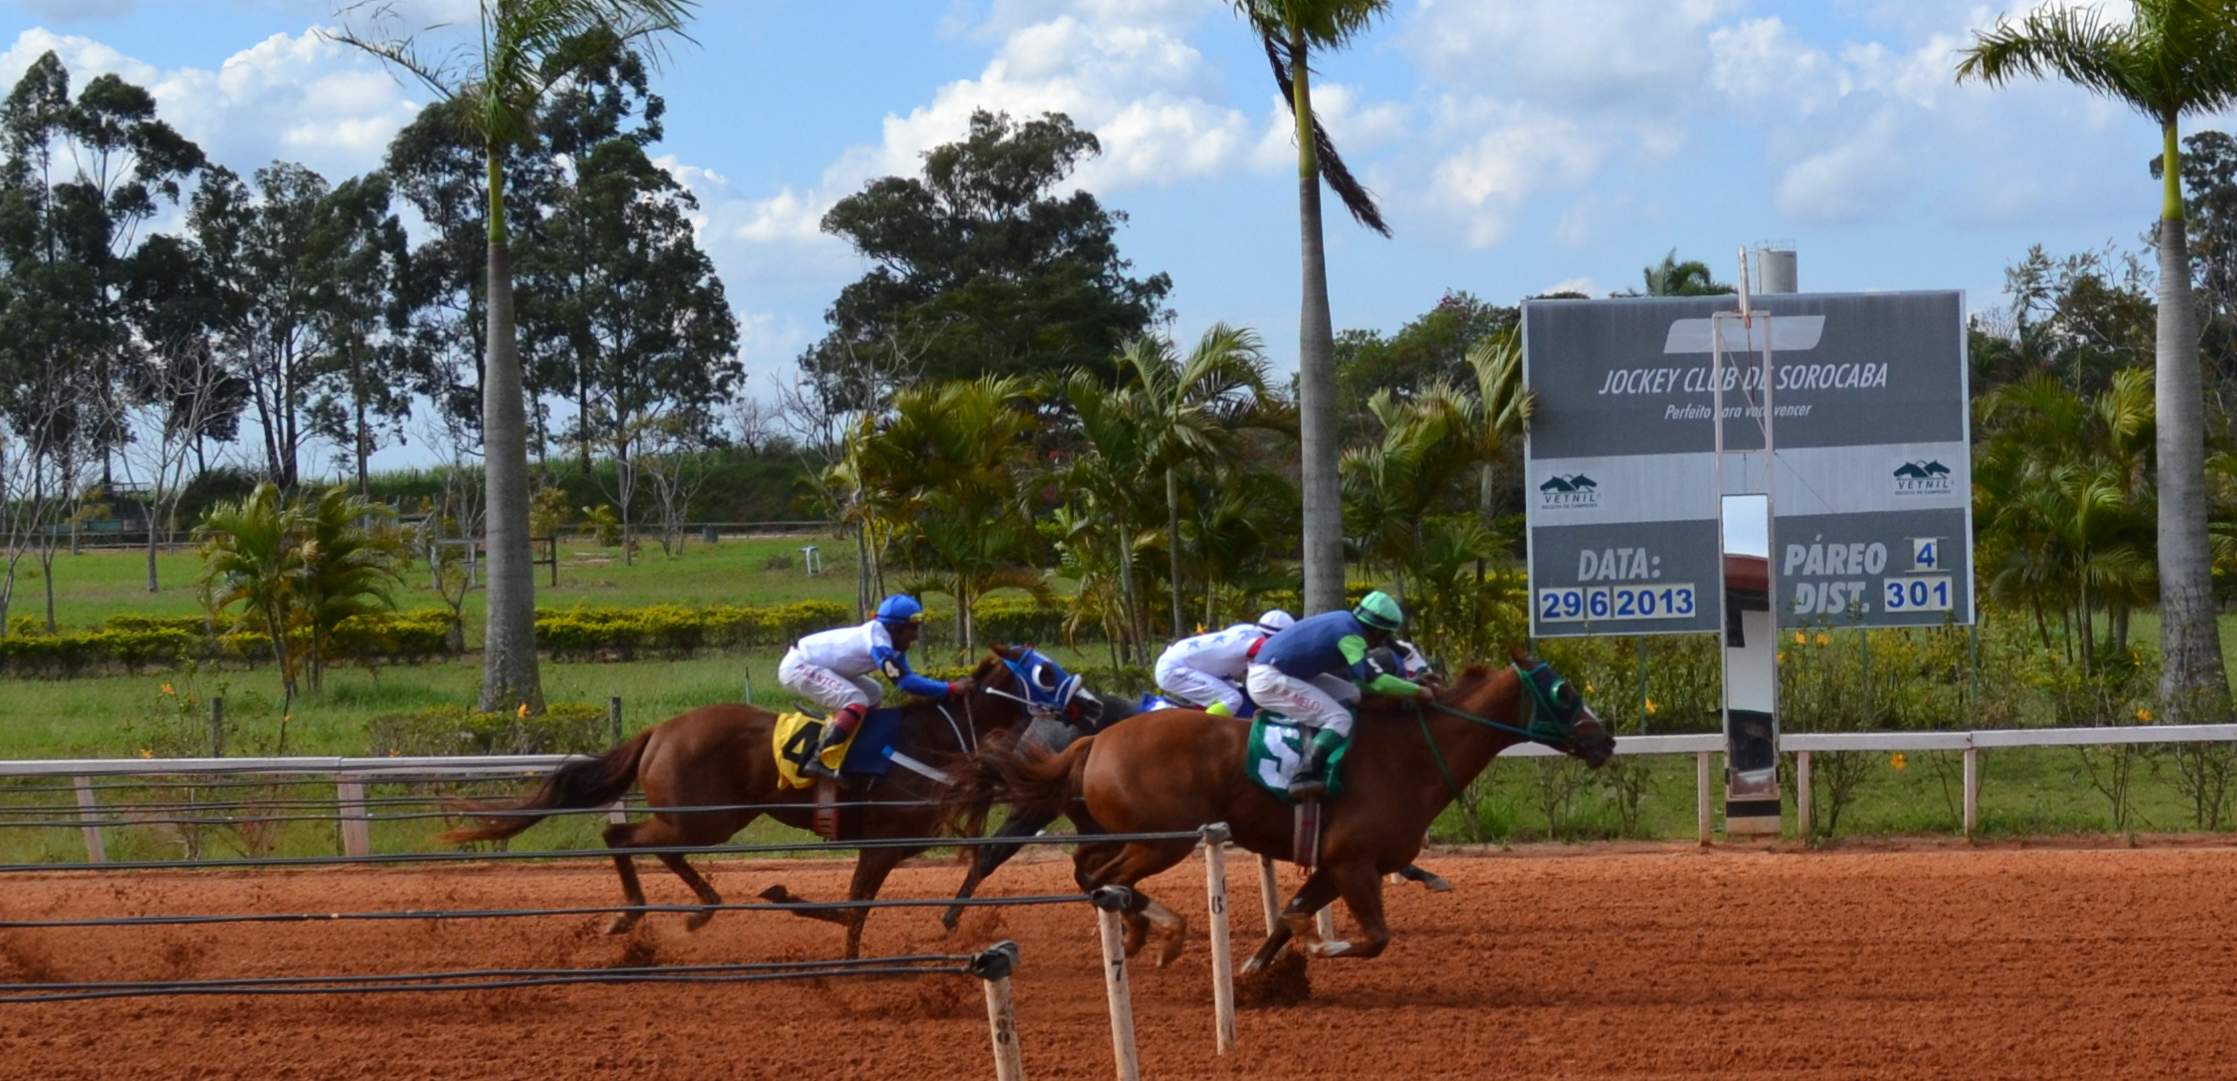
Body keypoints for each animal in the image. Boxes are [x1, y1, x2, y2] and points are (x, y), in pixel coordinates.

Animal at [429, 644, 1091, 957]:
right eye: (1047, 672)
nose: (1090, 703)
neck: (935, 739)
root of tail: (660, 730)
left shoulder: (899, 844)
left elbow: (893, 895)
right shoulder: (882, 843)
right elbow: (852, 909)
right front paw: (807, 921)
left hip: (705, 820)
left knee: (647, 846)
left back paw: (699, 907)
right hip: (704, 819)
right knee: (620, 836)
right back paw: (643, 912)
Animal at [957, 658, 1610, 975]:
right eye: (1565, 692)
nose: (1605, 740)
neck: (1411, 754)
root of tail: (1096, 738)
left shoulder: (1333, 865)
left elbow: (1287, 920)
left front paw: (1254, 970)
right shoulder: (1353, 863)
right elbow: (1374, 938)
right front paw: (1321, 948)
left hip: (1126, 831)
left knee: (1088, 869)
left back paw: (1143, 932)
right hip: (1162, 840)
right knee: (1101, 877)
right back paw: (1159, 932)